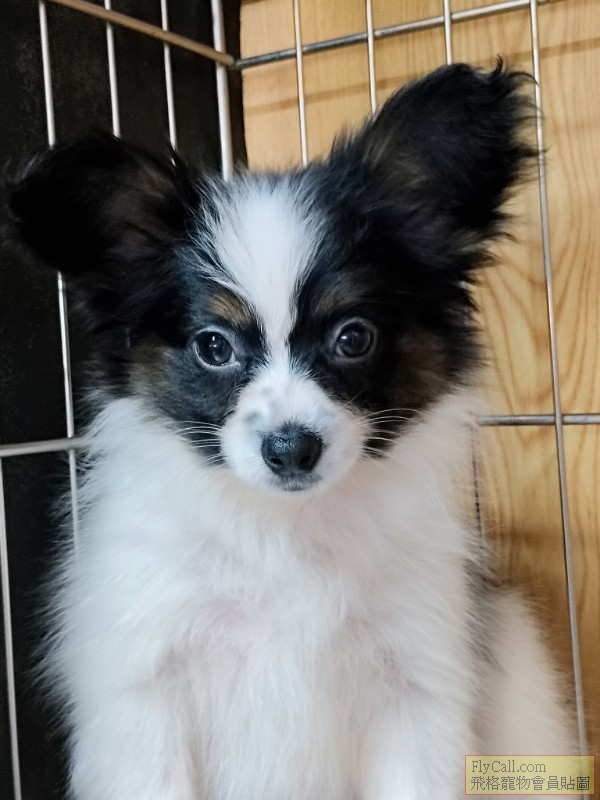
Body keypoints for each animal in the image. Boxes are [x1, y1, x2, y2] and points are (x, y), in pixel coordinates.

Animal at [10, 62, 575, 800]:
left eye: (353, 337)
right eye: (214, 346)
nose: (291, 449)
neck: (284, 533)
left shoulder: (414, 685)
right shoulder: (147, 692)